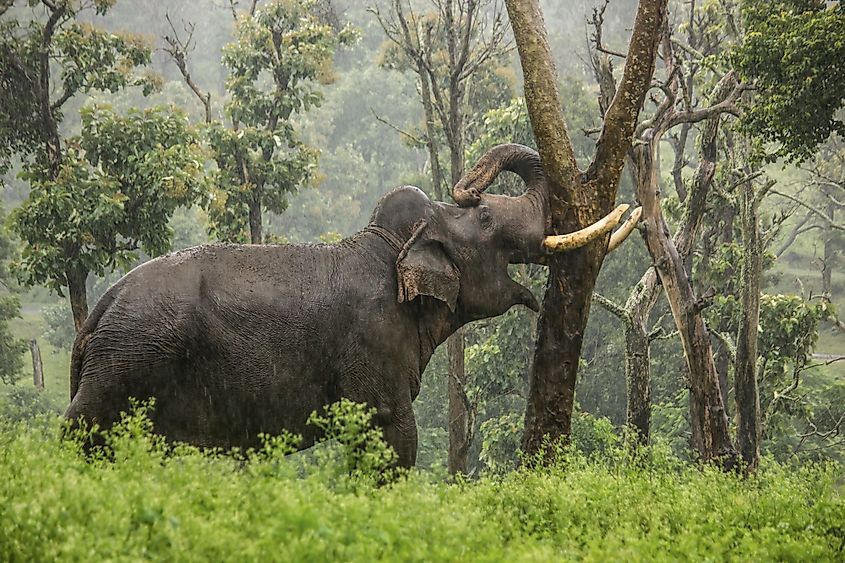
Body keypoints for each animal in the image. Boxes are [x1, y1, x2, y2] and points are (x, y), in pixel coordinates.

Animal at [66, 144, 636, 468]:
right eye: (488, 220)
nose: (469, 186)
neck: (389, 245)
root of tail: (99, 310)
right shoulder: (374, 345)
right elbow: (394, 435)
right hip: (125, 364)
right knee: (83, 431)